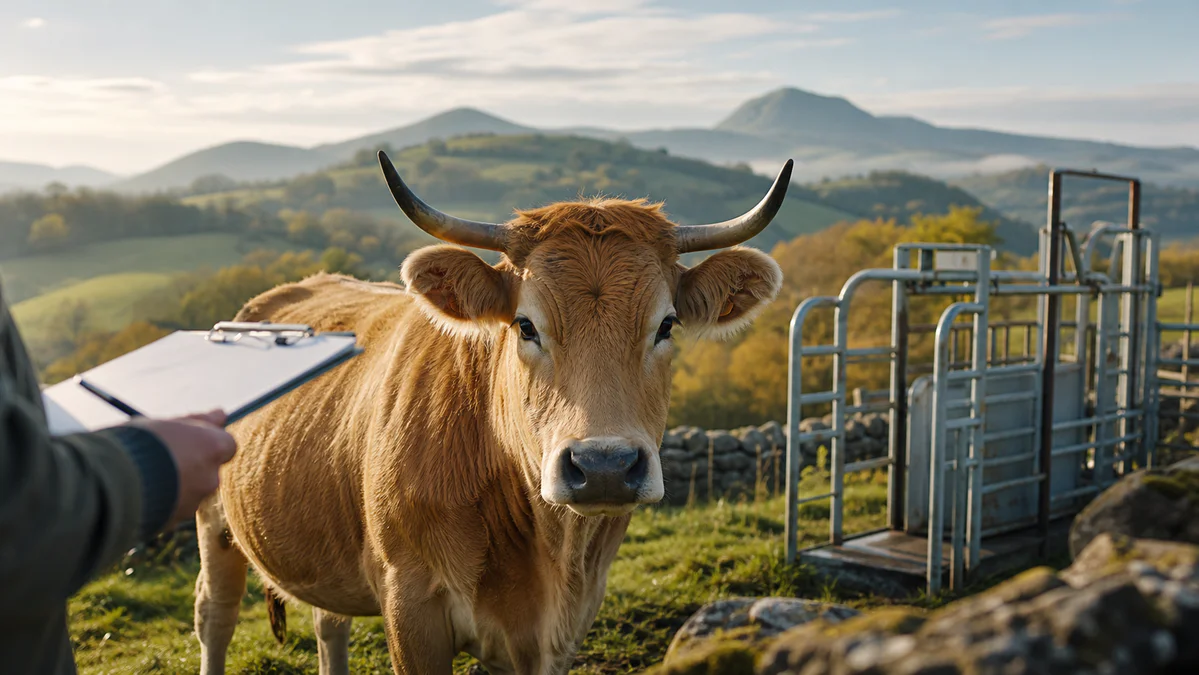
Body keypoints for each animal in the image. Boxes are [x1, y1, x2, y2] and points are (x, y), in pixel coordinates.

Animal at [193, 150, 791, 675]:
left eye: (666, 324)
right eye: (525, 325)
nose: (605, 467)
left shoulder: (561, 627)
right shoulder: (410, 609)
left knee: (327, 624)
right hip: (212, 521)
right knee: (214, 615)